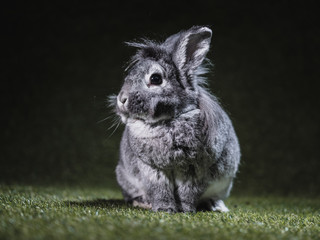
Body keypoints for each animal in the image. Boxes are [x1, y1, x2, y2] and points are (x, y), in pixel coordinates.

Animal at [111, 25, 239, 214]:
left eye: (155, 78)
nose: (122, 99)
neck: (168, 121)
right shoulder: (152, 169)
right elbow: (159, 190)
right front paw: (165, 209)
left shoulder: (194, 171)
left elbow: (188, 193)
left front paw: (185, 210)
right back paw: (142, 202)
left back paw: (216, 206)